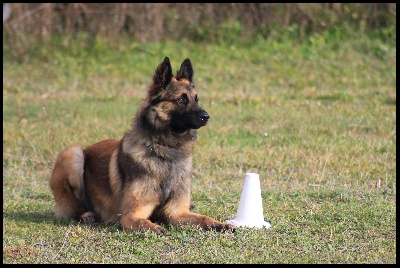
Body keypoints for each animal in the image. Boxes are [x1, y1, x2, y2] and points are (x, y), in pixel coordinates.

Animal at [49, 57, 234, 234]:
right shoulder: (131, 215)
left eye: (196, 99)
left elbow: (204, 218)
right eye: (181, 99)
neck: (166, 151)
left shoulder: (177, 213)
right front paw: (154, 228)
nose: (206, 116)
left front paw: (220, 224)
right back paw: (87, 214)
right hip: (73, 154)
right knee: (73, 207)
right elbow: (143, 222)